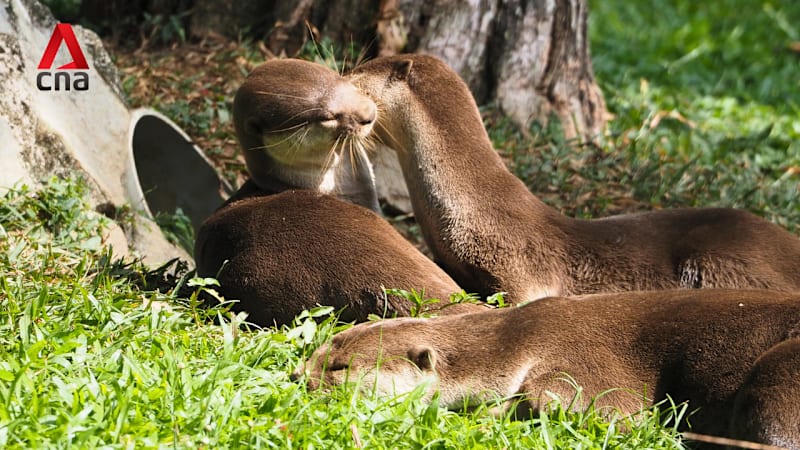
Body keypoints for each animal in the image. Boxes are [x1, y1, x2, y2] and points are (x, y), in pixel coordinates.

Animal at [295, 289, 800, 448]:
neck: (518, 341)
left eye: (339, 368)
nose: (301, 378)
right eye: (316, 354)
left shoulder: (579, 357)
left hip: (779, 371)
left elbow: (608, 413)